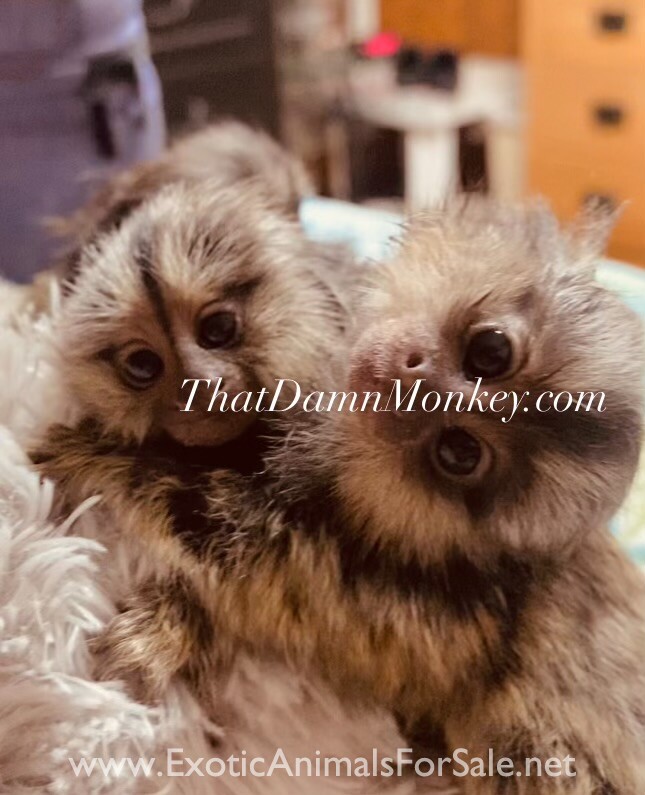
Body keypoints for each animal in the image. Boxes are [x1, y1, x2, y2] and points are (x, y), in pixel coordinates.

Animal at [34, 200, 645, 793]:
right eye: (490, 352)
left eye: (459, 452)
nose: (416, 386)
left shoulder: (418, 596)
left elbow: (263, 568)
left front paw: (97, 459)